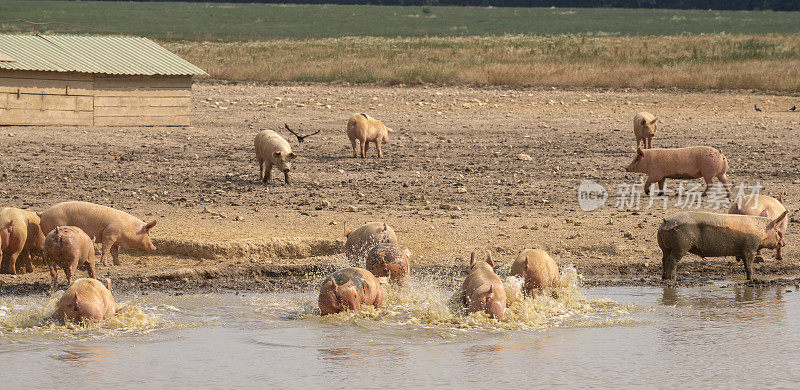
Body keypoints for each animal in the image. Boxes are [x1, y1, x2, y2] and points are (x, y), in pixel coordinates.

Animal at [656, 210, 788, 280]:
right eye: (777, 231)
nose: (784, 243)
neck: (761, 232)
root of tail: (665, 222)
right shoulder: (750, 248)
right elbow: (748, 266)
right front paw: (752, 279)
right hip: (681, 246)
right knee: (672, 260)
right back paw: (673, 278)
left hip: (664, 247)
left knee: (664, 259)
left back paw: (664, 277)